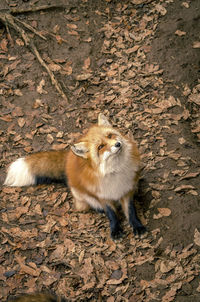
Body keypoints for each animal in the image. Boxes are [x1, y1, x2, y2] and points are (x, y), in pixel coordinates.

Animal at [4, 113, 145, 238]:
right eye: (100, 147)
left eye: (110, 135)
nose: (117, 144)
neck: (114, 172)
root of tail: (68, 159)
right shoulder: (102, 196)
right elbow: (111, 214)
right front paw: (115, 230)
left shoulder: (126, 190)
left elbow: (131, 211)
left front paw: (137, 226)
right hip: (81, 195)